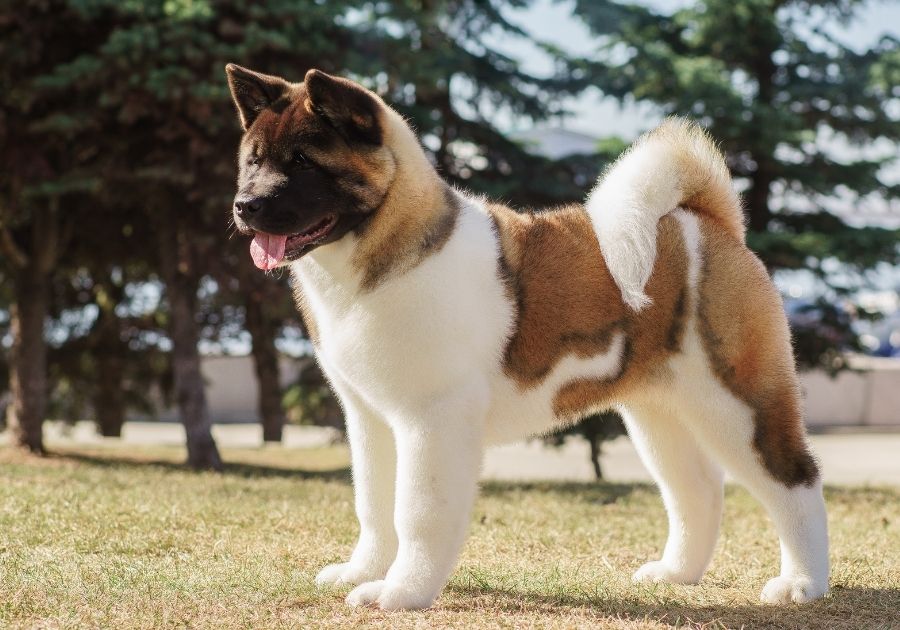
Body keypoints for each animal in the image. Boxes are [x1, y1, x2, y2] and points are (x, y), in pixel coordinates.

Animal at [227, 64, 828, 612]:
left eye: (303, 163)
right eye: (254, 161)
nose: (244, 205)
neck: (384, 249)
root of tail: (709, 223)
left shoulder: (432, 419)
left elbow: (417, 512)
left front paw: (399, 593)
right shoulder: (370, 419)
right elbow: (374, 504)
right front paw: (362, 573)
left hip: (739, 401)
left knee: (794, 480)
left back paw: (802, 585)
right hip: (660, 412)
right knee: (697, 489)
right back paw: (675, 574)